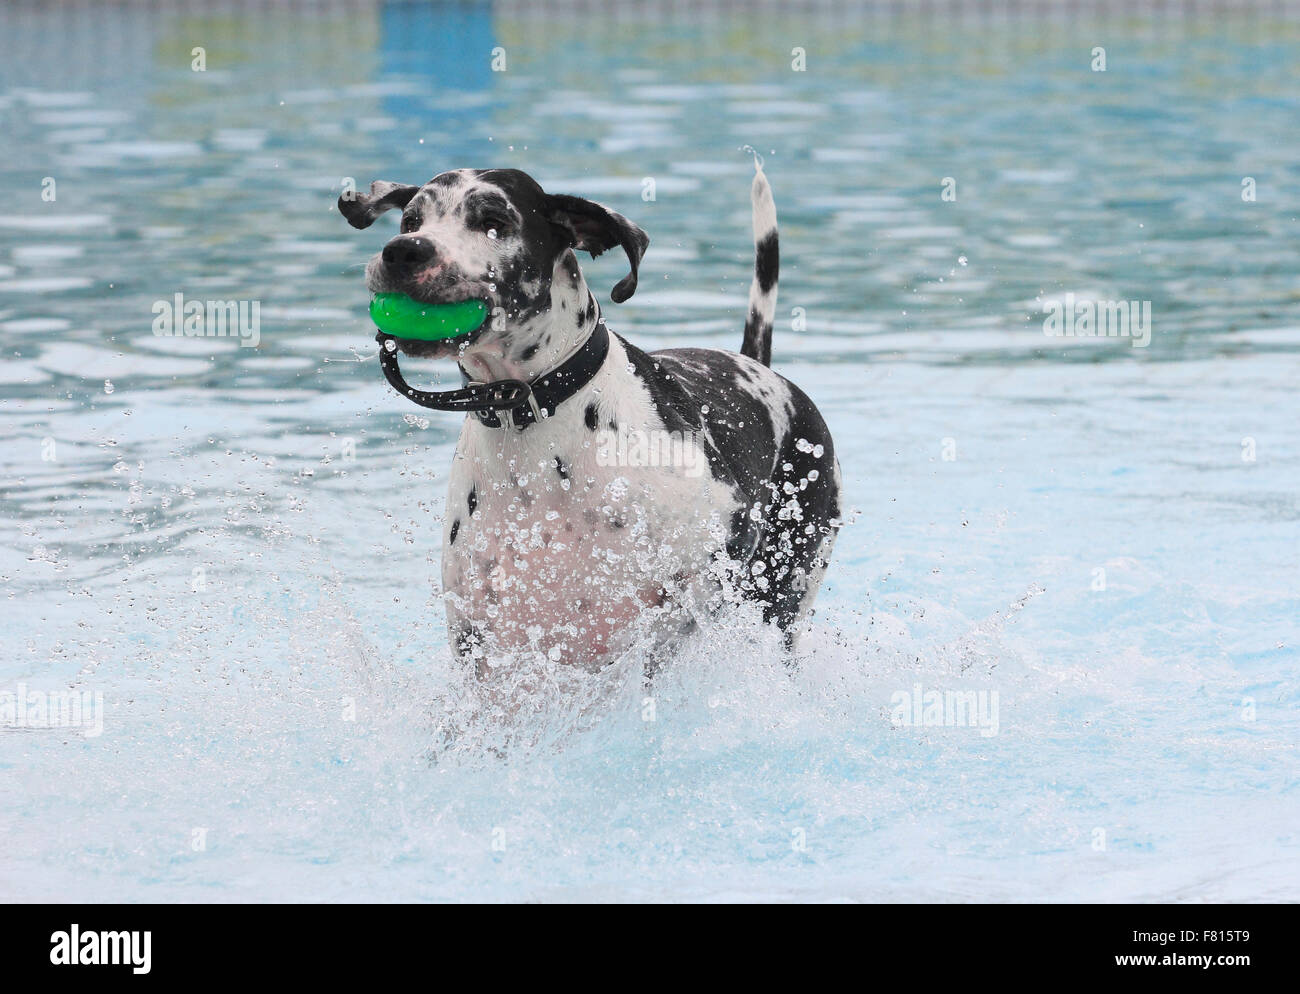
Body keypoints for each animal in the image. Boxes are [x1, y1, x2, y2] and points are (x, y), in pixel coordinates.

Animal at [338, 165, 842, 675]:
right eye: (411, 219)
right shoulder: (482, 643)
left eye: (493, 221)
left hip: (783, 590)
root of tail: (759, 368)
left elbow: (666, 625)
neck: (535, 419)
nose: (405, 250)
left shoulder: (724, 543)